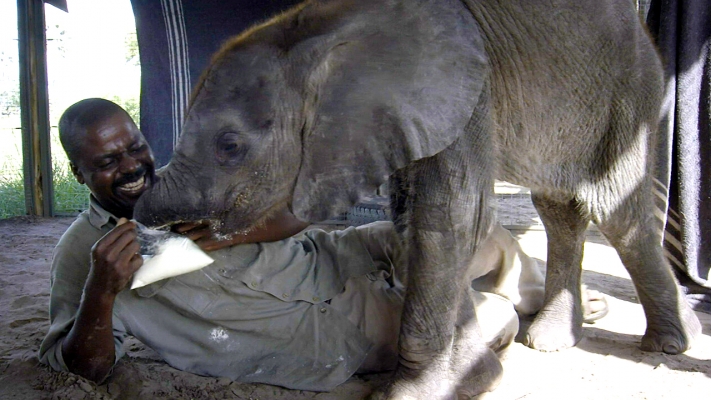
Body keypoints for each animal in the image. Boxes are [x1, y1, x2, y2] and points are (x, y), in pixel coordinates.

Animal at [134, 0, 702, 398]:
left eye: (230, 146)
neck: (321, 27)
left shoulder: (465, 92)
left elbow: (450, 218)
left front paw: (414, 393)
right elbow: (418, 221)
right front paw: (475, 373)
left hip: (630, 92)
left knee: (618, 214)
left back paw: (671, 342)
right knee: (559, 208)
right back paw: (556, 337)